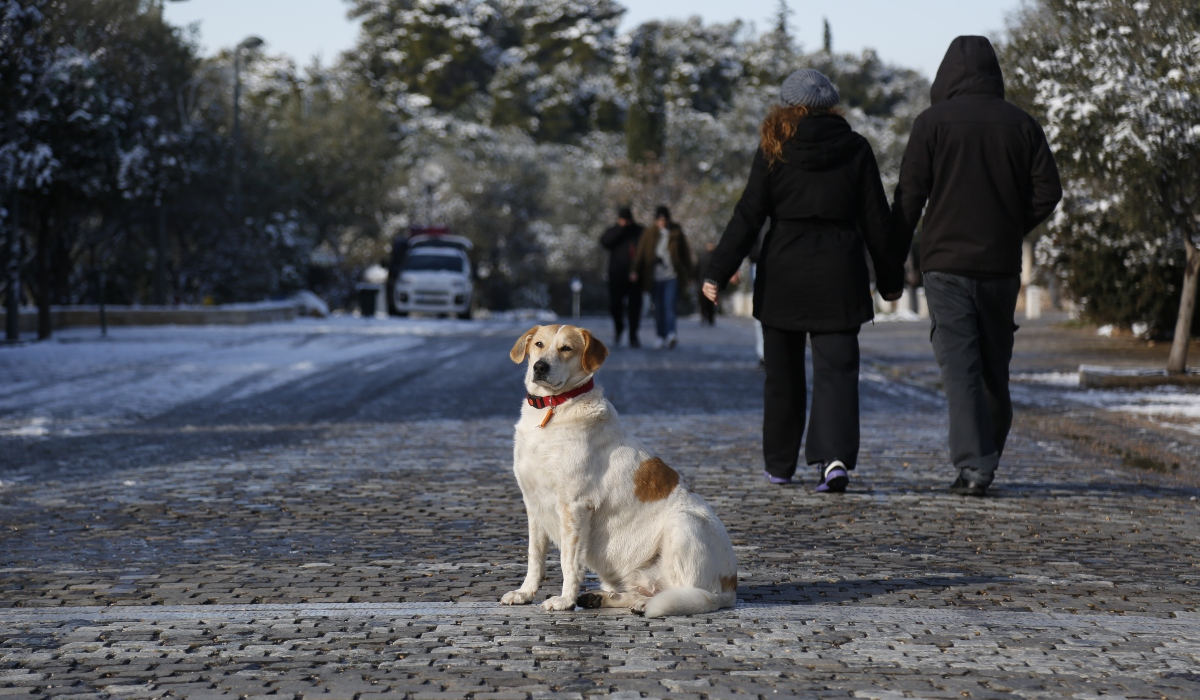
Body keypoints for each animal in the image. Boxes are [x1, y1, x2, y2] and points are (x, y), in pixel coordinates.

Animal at [499, 324, 739, 619]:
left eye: (566, 348)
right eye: (539, 345)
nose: (540, 367)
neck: (554, 409)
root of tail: (729, 589)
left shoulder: (575, 507)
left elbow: (569, 562)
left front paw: (565, 600)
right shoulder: (533, 505)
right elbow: (535, 557)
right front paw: (525, 593)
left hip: (684, 524)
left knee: (688, 593)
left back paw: (646, 604)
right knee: (643, 591)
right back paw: (603, 598)